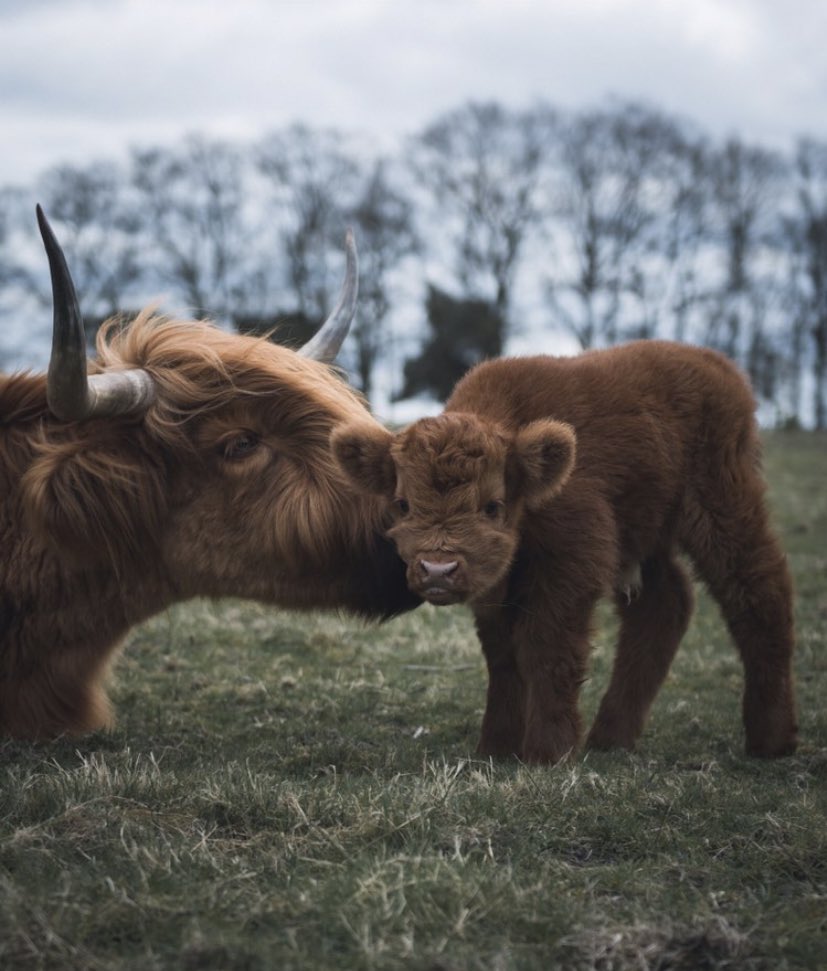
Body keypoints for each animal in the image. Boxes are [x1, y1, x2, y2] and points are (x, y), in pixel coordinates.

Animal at [332, 343, 798, 763]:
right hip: (647, 532)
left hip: (723, 505)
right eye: (403, 504)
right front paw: (496, 748)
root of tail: (714, 362)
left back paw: (771, 739)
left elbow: (547, 650)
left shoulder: (571, 567)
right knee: (665, 604)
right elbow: (503, 658)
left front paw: (548, 751)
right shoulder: (498, 589)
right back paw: (611, 738)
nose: (437, 569)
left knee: (758, 593)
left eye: (492, 506)